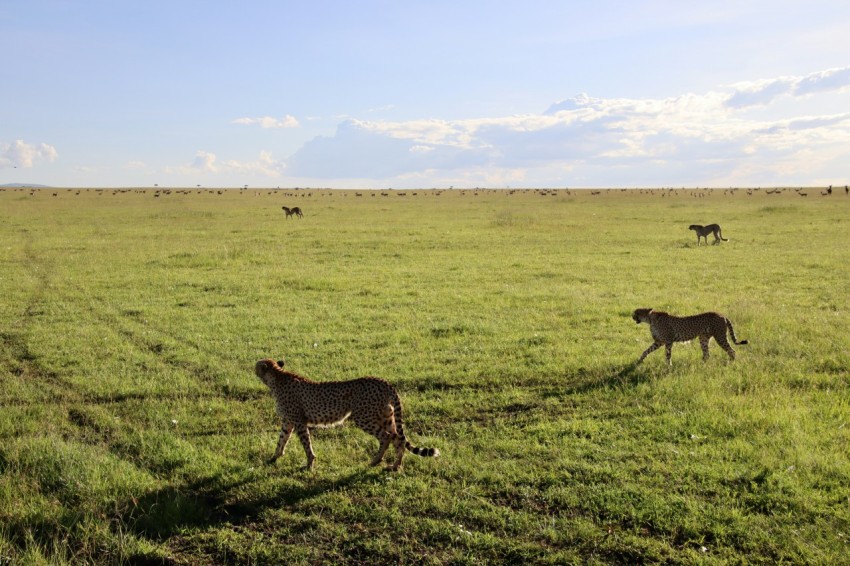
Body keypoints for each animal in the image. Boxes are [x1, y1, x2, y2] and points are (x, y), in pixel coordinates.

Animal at [255, 359, 439, 471]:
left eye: (257, 365)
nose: (253, 367)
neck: (276, 377)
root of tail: (382, 381)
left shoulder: (299, 421)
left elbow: (306, 444)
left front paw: (309, 464)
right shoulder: (288, 422)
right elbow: (281, 440)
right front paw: (273, 458)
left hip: (363, 417)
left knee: (386, 437)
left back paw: (376, 461)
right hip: (387, 417)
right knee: (398, 439)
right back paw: (395, 466)